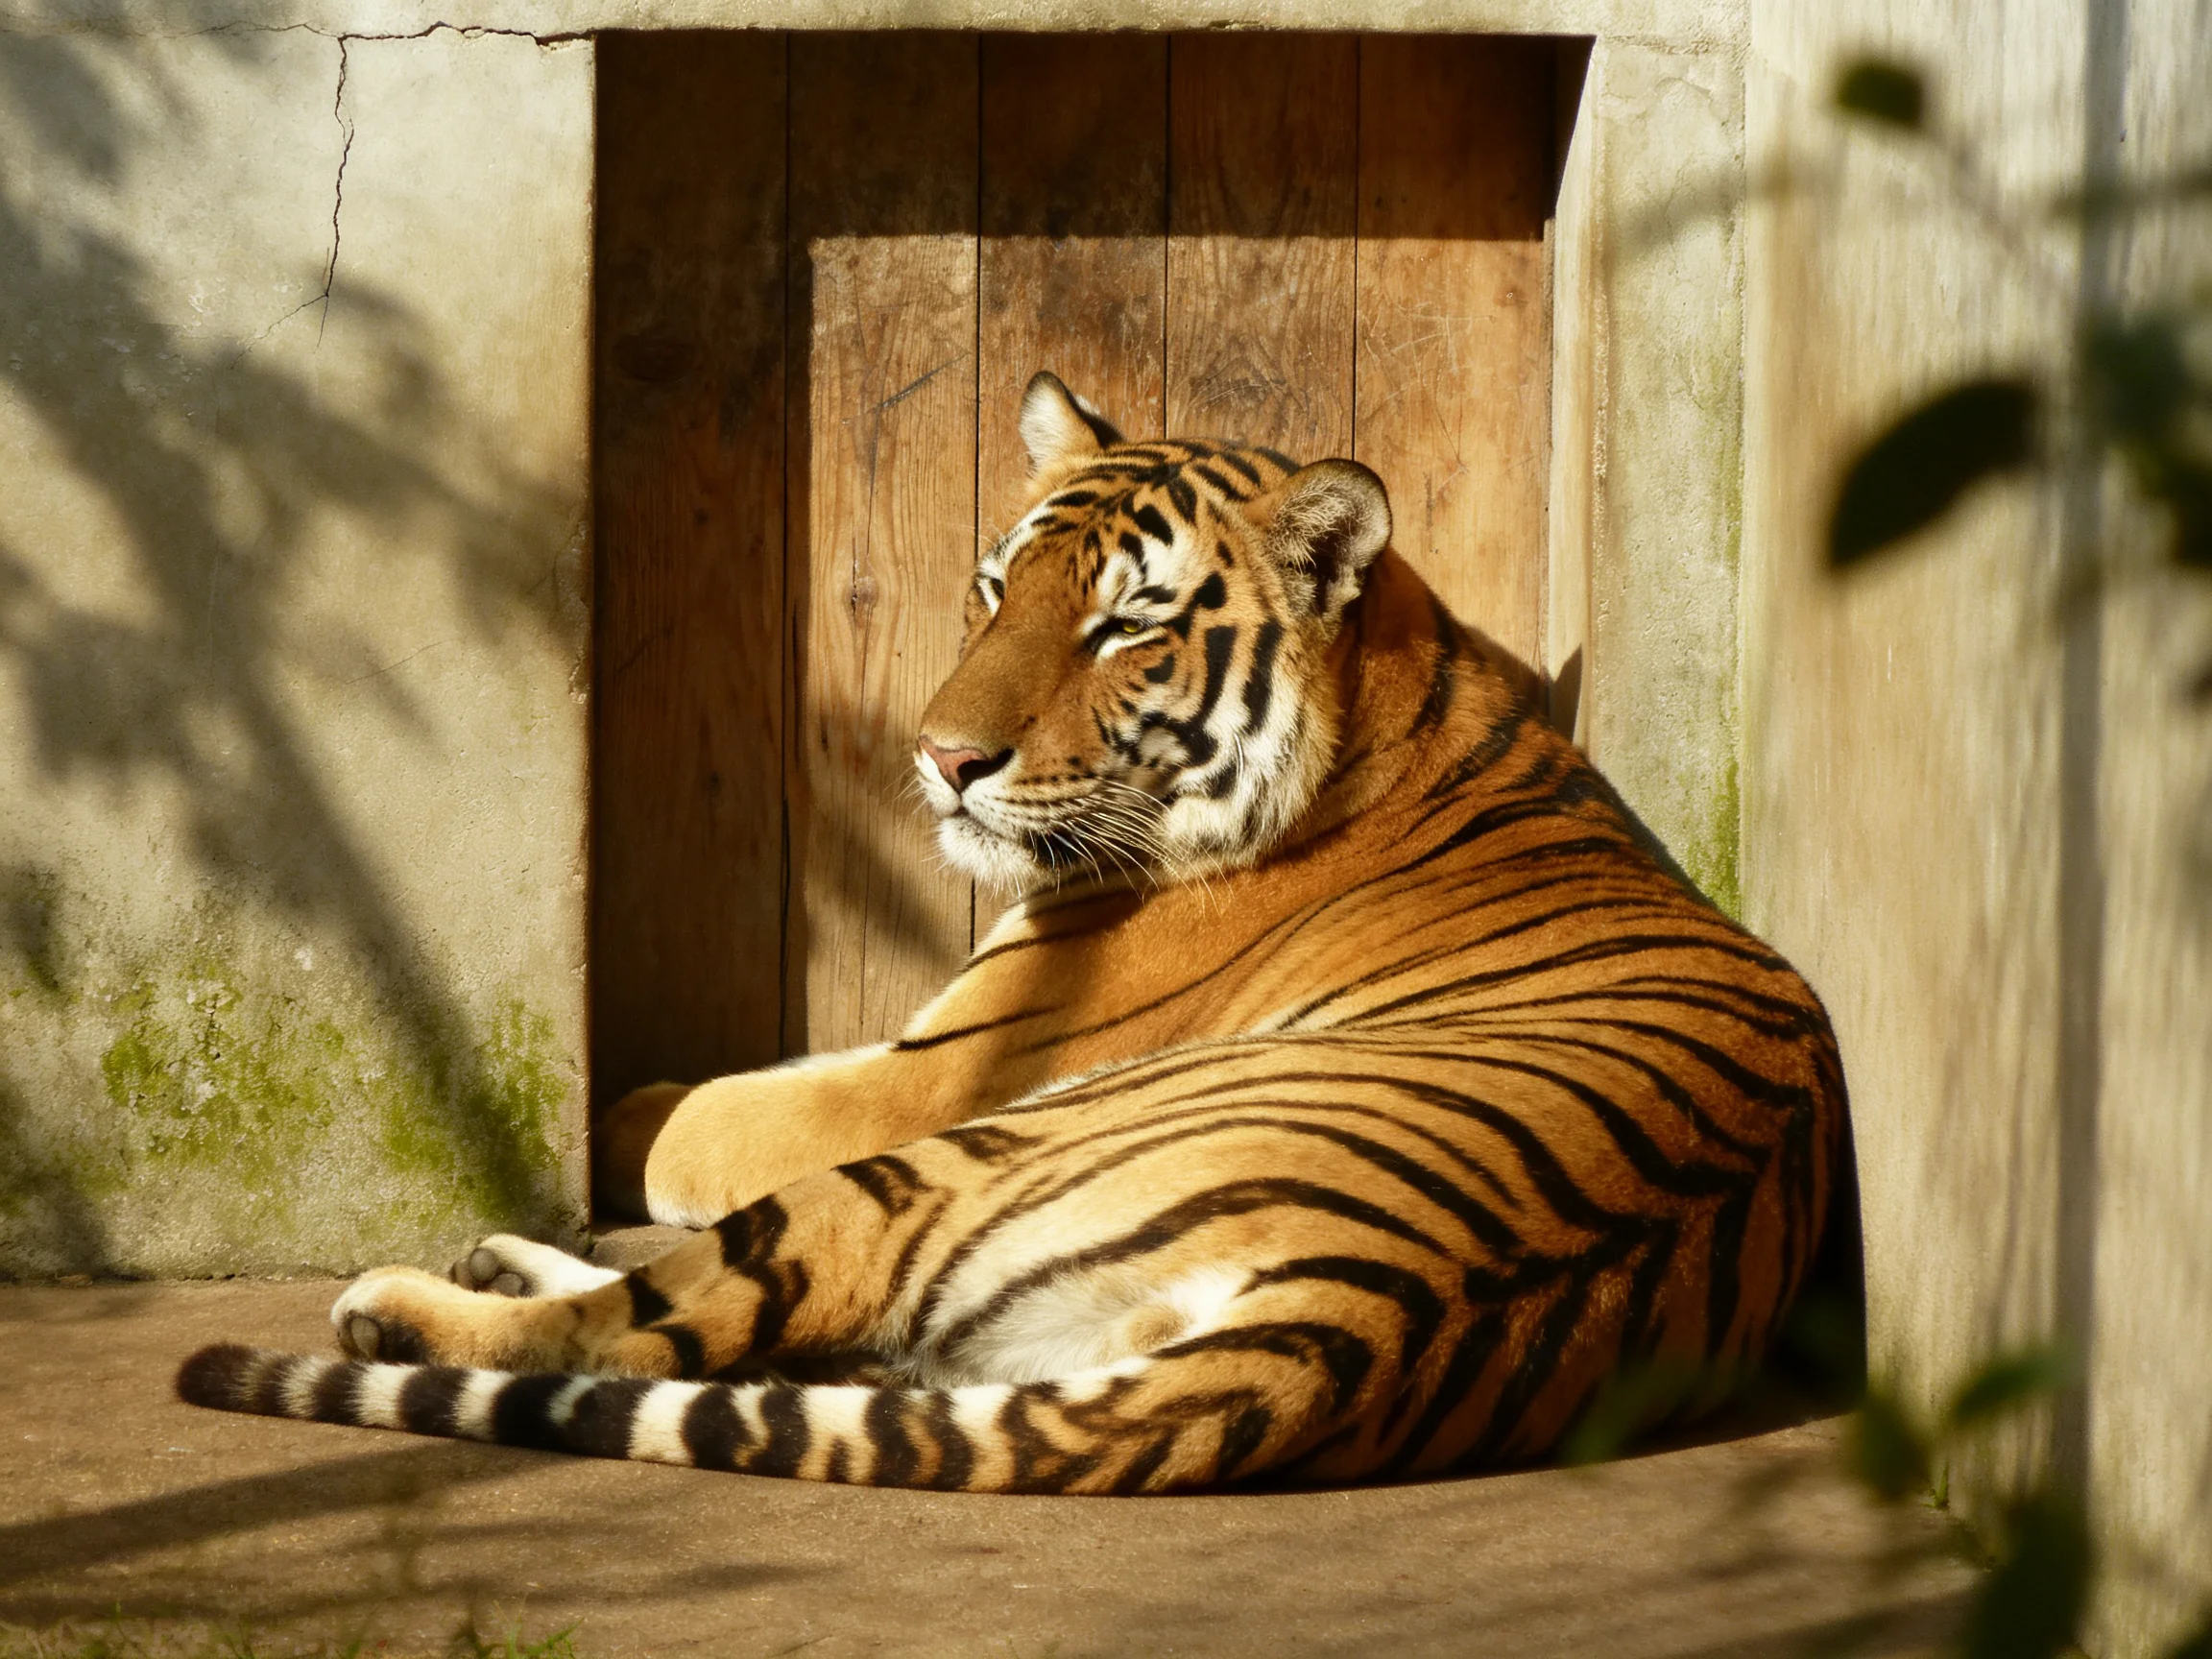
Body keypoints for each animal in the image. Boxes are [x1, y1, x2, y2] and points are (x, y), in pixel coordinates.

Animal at [177, 371, 1846, 1495]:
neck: (1386, 710)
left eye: (1126, 627)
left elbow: (695, 1117)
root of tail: (1363, 1315)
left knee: (655, 1325)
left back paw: (403, 1305)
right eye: (996, 588)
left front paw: (616, 1106)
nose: (941, 759)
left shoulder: (933, 1072)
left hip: (953, 1158)